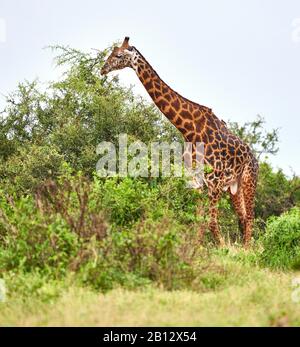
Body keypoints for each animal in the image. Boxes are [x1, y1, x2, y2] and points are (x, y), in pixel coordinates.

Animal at [100, 37, 258, 247]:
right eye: (111, 52)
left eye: (118, 55)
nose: (103, 69)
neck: (189, 130)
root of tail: (255, 159)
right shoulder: (197, 181)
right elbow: (199, 221)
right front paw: (196, 249)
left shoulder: (214, 182)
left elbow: (211, 222)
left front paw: (223, 249)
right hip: (234, 187)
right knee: (242, 218)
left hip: (249, 180)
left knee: (249, 217)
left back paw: (248, 251)